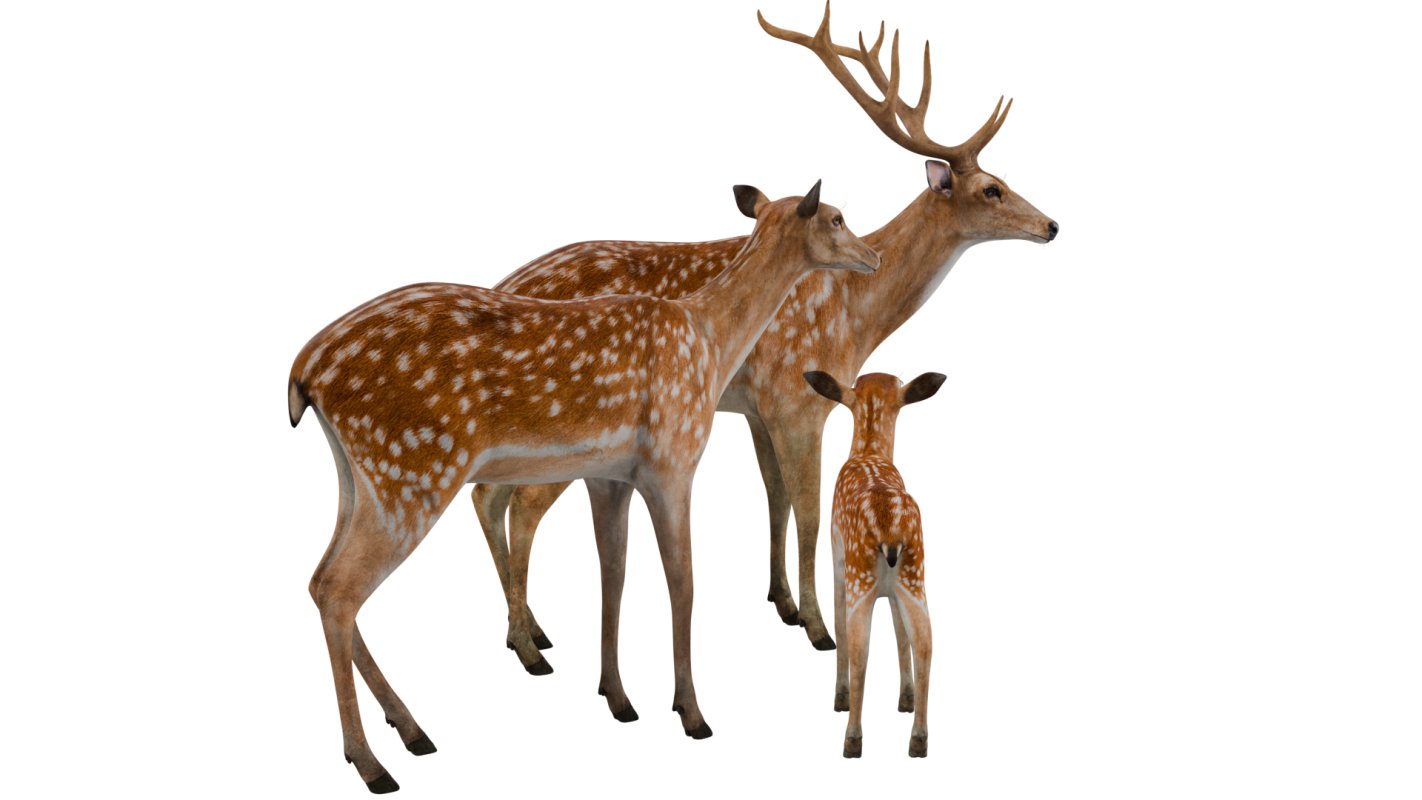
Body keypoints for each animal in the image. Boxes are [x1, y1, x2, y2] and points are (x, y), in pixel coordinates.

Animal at [289, 182, 879, 793]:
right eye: (837, 217)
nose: (873, 258)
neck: (710, 341)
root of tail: (303, 375)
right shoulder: (673, 459)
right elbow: (683, 583)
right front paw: (691, 714)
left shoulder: (608, 475)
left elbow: (612, 575)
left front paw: (618, 698)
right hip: (412, 468)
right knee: (340, 588)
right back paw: (373, 762)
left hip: (358, 477)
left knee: (319, 580)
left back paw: (410, 730)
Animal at [473, 2, 1056, 676]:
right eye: (991, 188)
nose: (1051, 225)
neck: (857, 315)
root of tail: (506, 281)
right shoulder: (797, 398)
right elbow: (808, 509)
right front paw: (818, 626)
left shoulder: (757, 408)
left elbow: (774, 494)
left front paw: (782, 601)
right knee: (512, 501)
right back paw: (526, 639)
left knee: (489, 495)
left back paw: (527, 630)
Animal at [804, 370, 943, 758]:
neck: (867, 451)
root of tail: (890, 530)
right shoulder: (897, 591)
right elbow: (900, 632)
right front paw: (905, 699)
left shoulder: (837, 561)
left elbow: (840, 625)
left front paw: (840, 698)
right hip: (915, 574)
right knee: (926, 642)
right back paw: (918, 738)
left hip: (859, 575)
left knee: (858, 646)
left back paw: (852, 737)